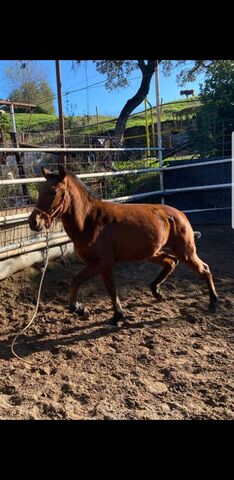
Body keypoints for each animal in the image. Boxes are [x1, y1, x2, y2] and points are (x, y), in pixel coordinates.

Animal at [28, 166, 218, 326]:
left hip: (185, 252)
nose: (33, 222)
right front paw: (111, 314)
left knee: (204, 269)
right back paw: (156, 291)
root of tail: (179, 214)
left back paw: (213, 302)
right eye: (40, 190)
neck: (90, 221)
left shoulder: (102, 263)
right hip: (152, 253)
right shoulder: (101, 265)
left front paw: (81, 309)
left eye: (53, 191)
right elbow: (109, 289)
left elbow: (79, 281)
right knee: (171, 262)